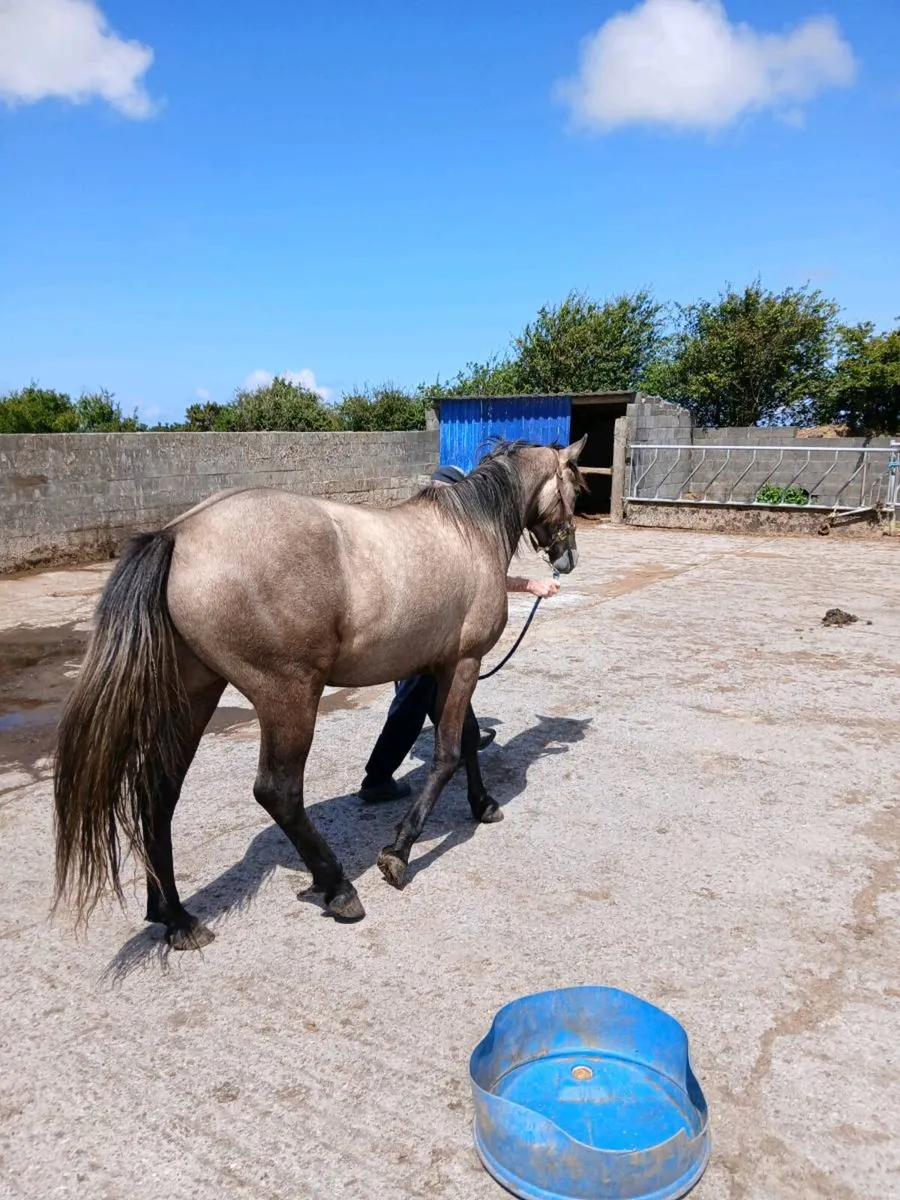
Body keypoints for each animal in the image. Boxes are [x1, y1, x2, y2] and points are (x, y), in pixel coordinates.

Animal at [53, 436, 587, 949]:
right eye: (576, 490)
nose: (567, 559)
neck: (470, 532)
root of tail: (177, 535)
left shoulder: (443, 667)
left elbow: (469, 738)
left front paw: (482, 804)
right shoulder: (464, 664)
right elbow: (449, 753)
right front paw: (399, 852)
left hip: (194, 697)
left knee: (158, 793)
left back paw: (175, 917)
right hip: (289, 697)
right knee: (278, 792)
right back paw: (337, 888)